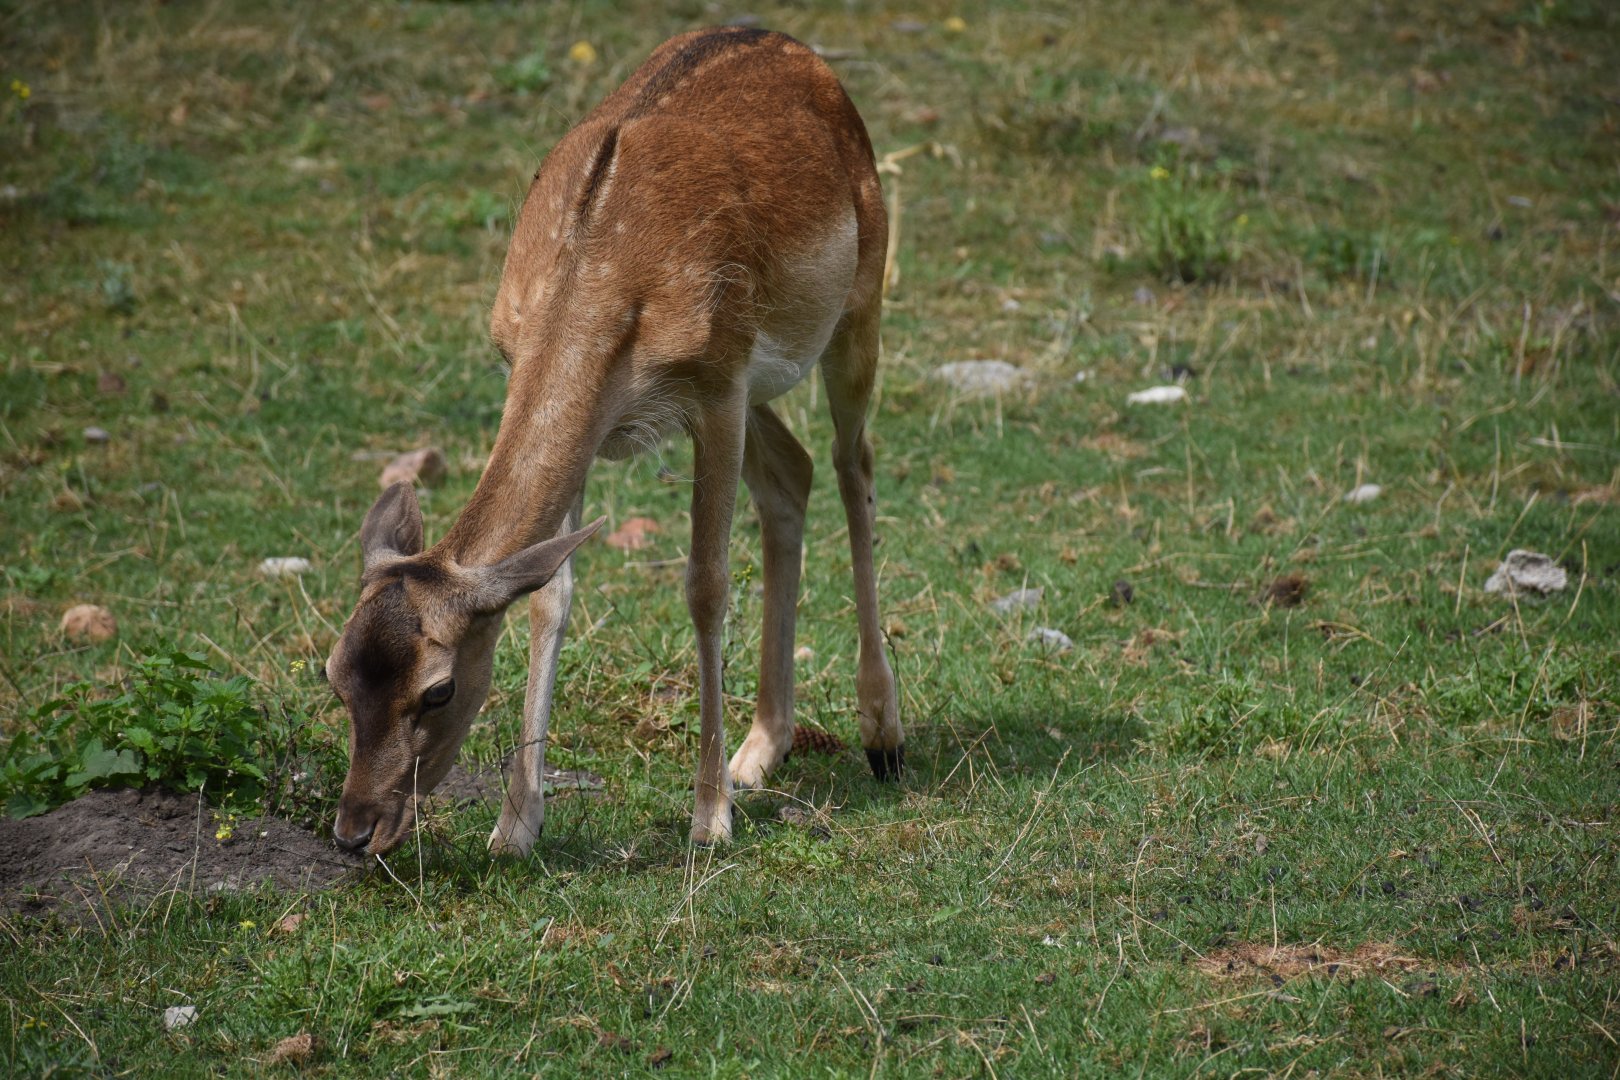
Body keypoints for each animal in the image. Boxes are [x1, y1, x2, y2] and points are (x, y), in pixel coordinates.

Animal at [321, 27, 902, 859]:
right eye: (334, 673)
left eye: (438, 689)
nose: (355, 830)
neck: (602, 274)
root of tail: (793, 46)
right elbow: (549, 596)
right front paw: (515, 824)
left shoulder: (717, 386)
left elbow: (705, 585)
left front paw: (709, 818)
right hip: (766, 383)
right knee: (792, 475)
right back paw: (761, 747)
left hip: (857, 304)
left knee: (855, 465)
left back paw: (881, 731)